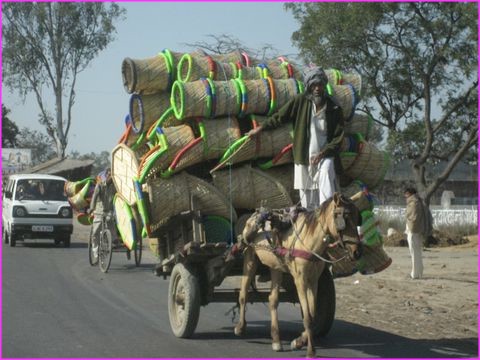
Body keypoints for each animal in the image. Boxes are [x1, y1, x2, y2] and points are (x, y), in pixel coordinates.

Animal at [234, 193, 362, 356]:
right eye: (344, 217)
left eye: (358, 218)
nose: (357, 252)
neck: (309, 239)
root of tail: (253, 215)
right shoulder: (300, 280)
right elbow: (307, 317)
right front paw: (310, 351)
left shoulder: (314, 280)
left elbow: (312, 315)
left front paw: (299, 341)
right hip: (250, 259)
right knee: (243, 294)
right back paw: (240, 327)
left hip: (276, 268)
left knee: (273, 300)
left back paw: (276, 340)